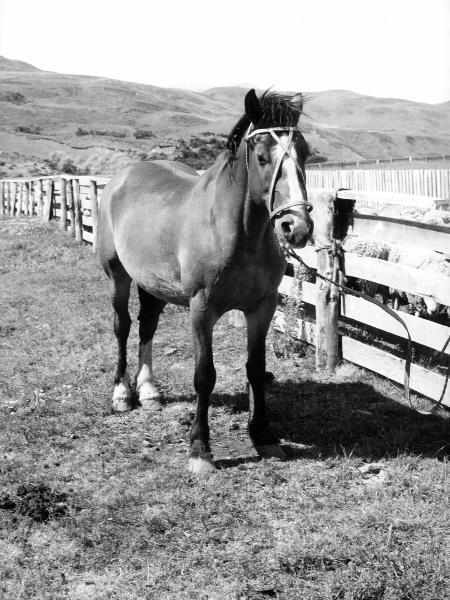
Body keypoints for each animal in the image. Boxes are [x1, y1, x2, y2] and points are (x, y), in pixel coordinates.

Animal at [98, 89, 314, 474]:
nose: (296, 227)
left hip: (153, 286)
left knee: (147, 326)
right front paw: (200, 449)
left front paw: (263, 436)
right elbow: (204, 375)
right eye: (262, 157)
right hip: (117, 277)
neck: (236, 232)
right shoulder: (202, 308)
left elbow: (256, 369)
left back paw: (149, 390)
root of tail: (122, 177)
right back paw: (122, 393)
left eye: (305, 154)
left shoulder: (262, 308)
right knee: (122, 327)